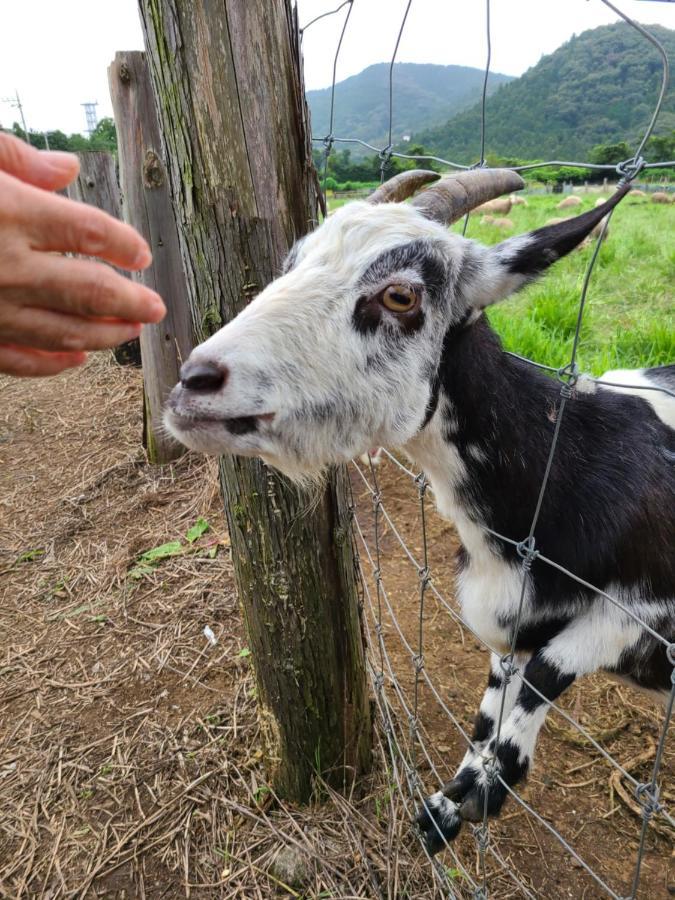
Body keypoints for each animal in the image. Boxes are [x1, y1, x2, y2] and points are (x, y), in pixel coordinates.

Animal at [165, 171, 675, 856]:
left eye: (401, 295)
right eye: (292, 263)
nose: (194, 381)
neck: (573, 466)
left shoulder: (645, 610)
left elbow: (548, 668)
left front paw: (488, 788)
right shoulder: (503, 621)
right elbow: (494, 701)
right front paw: (445, 809)